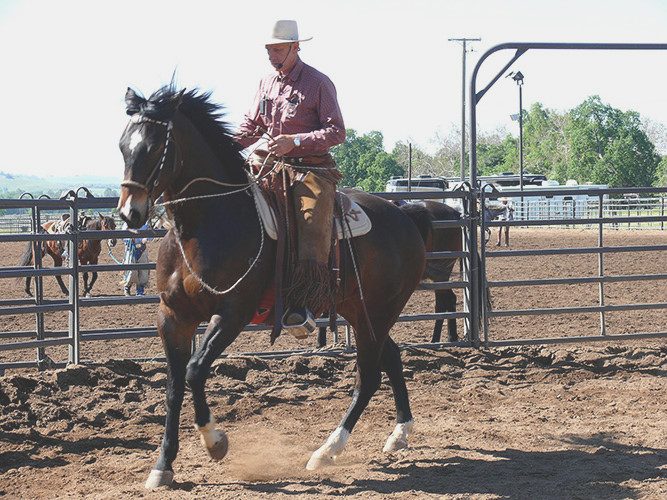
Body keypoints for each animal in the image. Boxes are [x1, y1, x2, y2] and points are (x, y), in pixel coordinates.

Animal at [117, 86, 426, 488]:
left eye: (155, 147)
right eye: (124, 145)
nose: (130, 213)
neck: (210, 223)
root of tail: (405, 216)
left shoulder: (233, 313)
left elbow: (195, 371)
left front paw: (215, 442)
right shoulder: (172, 317)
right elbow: (172, 387)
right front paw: (162, 465)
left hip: (377, 313)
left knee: (369, 375)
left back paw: (328, 450)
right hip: (362, 313)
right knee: (391, 357)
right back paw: (399, 433)